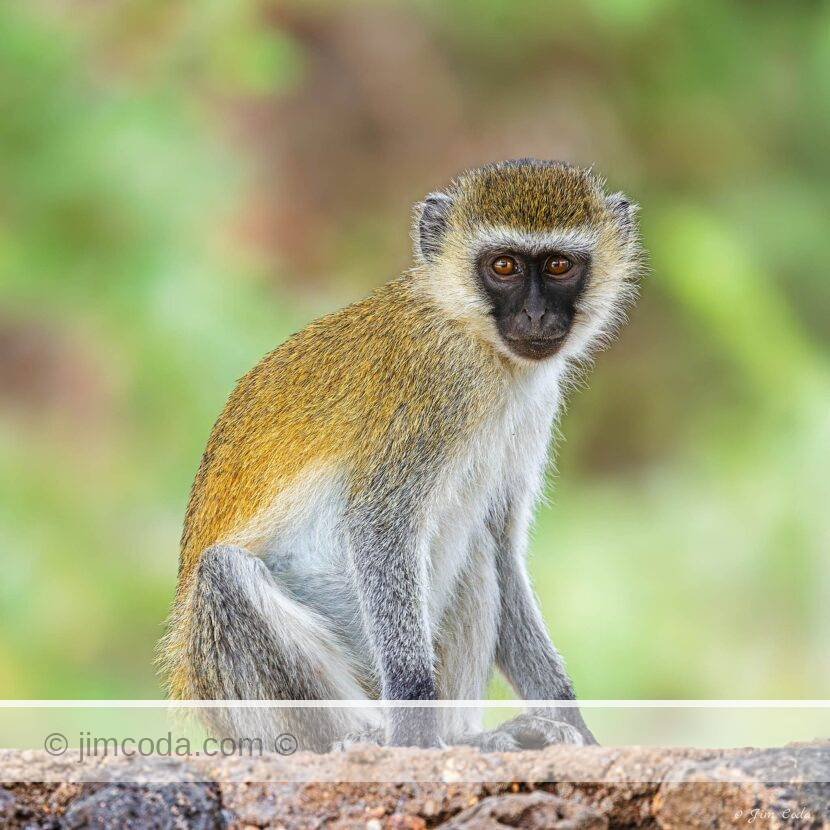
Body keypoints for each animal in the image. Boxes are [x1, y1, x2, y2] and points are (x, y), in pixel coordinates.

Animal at [157, 159, 642, 752]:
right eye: (503, 266)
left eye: (558, 265)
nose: (535, 316)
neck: (476, 341)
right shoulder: (434, 386)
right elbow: (379, 524)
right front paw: (416, 728)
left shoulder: (535, 404)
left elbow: (501, 546)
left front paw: (572, 719)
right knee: (224, 576)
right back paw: (370, 739)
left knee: (479, 548)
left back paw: (468, 736)